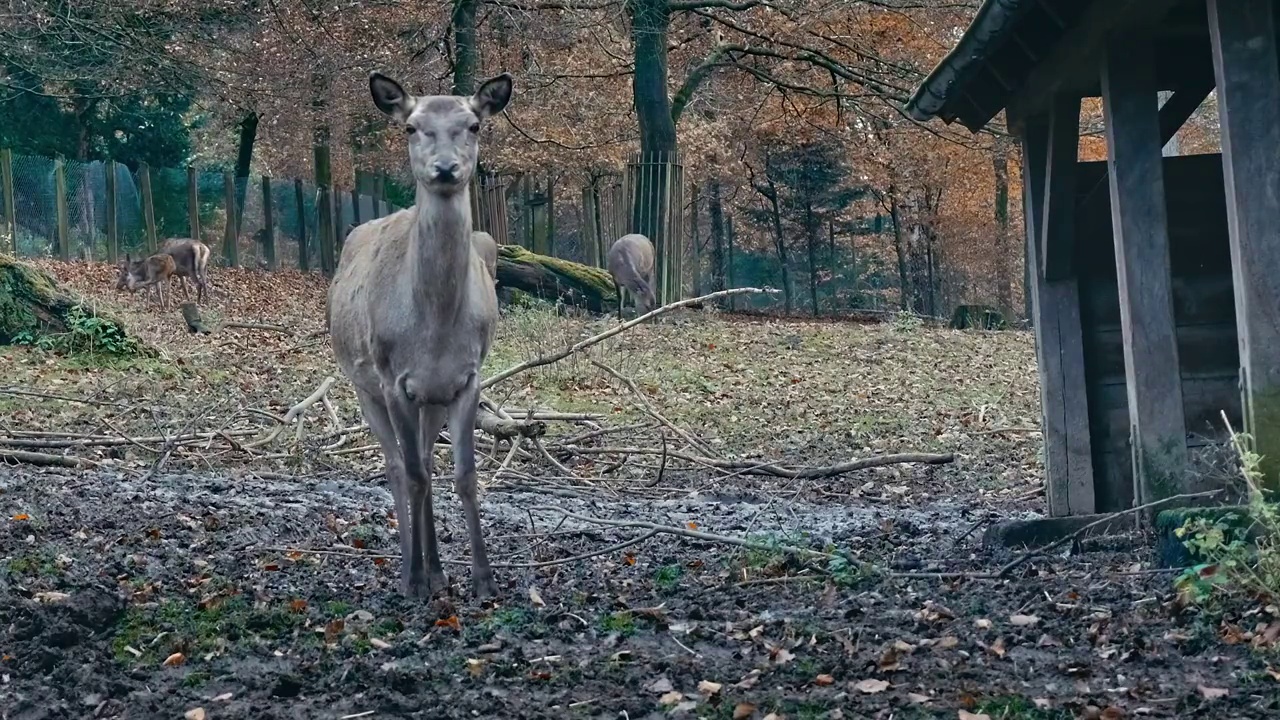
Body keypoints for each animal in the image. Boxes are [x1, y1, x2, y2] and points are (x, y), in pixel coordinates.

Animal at [325, 70, 514, 597]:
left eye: (474, 125)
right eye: (411, 127)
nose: (445, 168)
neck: (434, 326)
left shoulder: (467, 378)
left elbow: (464, 475)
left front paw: (483, 580)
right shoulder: (394, 379)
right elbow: (410, 475)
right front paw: (412, 579)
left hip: (432, 398)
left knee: (428, 461)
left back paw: (437, 569)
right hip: (363, 384)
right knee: (396, 466)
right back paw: (415, 568)